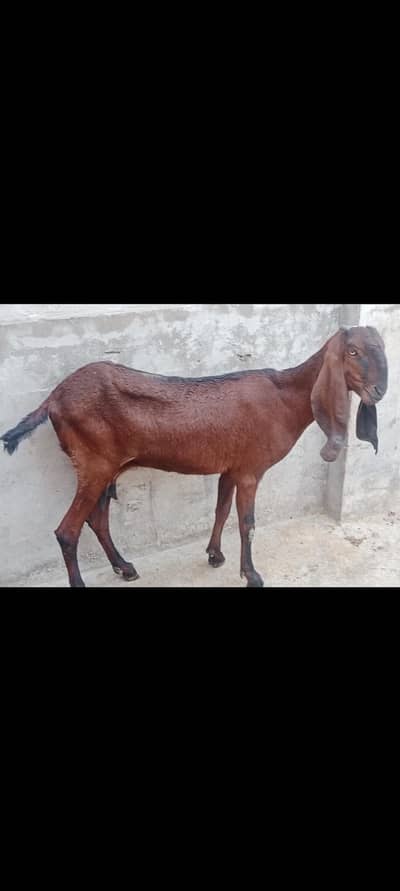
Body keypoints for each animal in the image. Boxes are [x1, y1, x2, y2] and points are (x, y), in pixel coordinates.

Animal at [1, 326, 388, 587]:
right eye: (353, 352)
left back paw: (125, 567)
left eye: (382, 348)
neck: (285, 398)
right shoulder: (251, 470)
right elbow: (246, 523)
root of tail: (53, 398)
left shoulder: (231, 467)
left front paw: (215, 555)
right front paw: (252, 574)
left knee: (97, 520)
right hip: (94, 464)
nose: (380, 390)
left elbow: (220, 510)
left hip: (106, 467)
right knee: (67, 531)